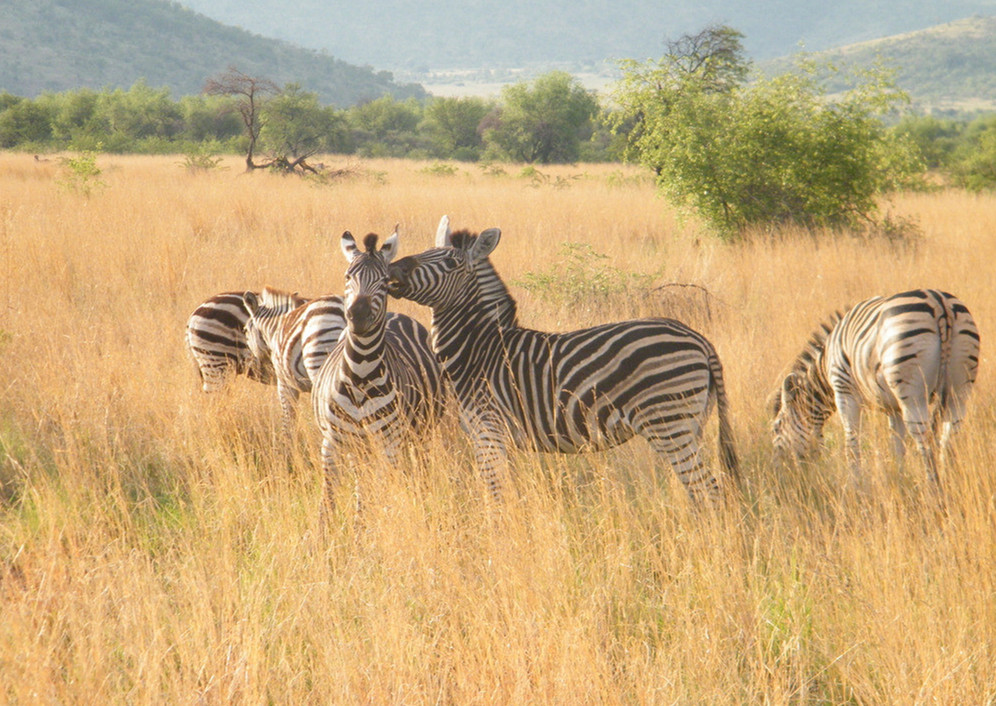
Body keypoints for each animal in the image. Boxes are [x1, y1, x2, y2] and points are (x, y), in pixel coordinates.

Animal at [312, 231, 444, 512]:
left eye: (384, 281)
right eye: (347, 276)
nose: (358, 316)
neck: (360, 373)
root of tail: (396, 314)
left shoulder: (388, 444)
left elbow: (379, 494)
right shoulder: (331, 442)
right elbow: (328, 500)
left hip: (421, 432)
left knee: (420, 470)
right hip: (360, 446)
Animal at [390, 224, 740, 500]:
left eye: (450, 262)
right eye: (425, 250)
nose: (393, 270)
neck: (479, 349)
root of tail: (700, 340)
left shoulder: (488, 430)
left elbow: (495, 493)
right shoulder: (501, 437)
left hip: (668, 423)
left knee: (708, 489)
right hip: (690, 423)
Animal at [772, 286, 980, 484]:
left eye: (776, 427)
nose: (778, 472)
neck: (824, 366)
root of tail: (939, 302)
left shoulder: (843, 391)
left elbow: (852, 442)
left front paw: (856, 484)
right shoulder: (894, 408)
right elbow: (897, 445)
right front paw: (899, 481)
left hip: (912, 391)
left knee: (926, 441)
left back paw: (934, 489)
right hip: (959, 387)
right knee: (948, 440)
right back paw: (949, 481)